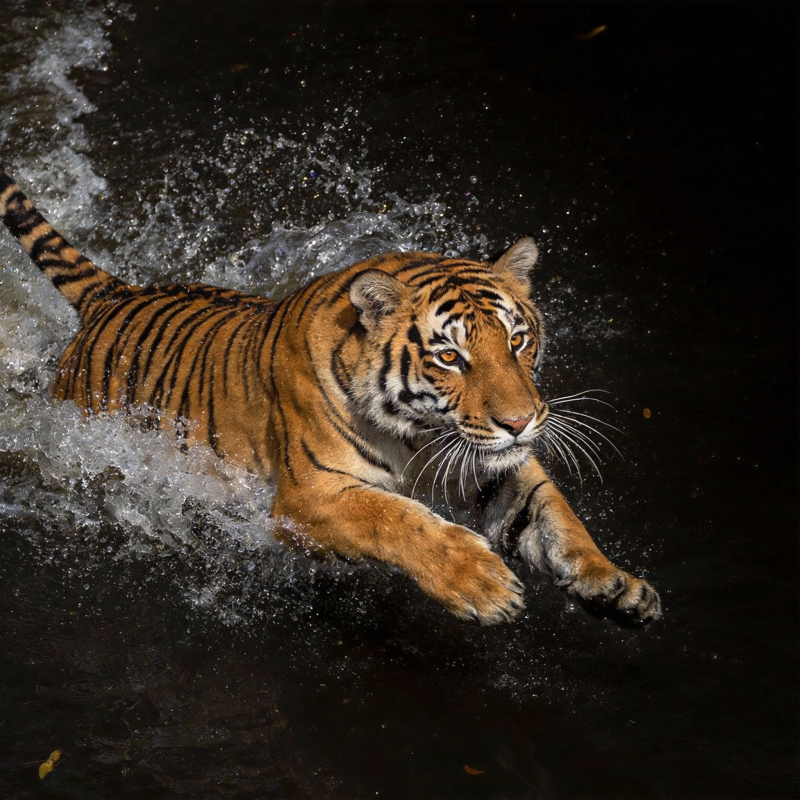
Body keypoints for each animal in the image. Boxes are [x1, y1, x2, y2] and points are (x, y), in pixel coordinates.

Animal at [0, 167, 661, 626]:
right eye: (450, 357)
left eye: (518, 341)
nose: (521, 422)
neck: (422, 434)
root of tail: (115, 293)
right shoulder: (308, 497)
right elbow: (395, 518)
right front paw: (482, 583)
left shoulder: (492, 466)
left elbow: (556, 518)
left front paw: (618, 587)